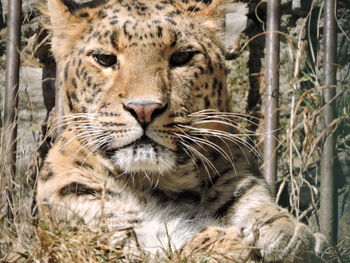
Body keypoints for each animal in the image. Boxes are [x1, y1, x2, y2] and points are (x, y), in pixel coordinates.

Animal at [37, 0, 326, 262]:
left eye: (181, 57)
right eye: (104, 59)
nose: (144, 109)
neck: (164, 186)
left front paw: (283, 229)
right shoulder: (99, 244)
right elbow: (169, 249)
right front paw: (228, 240)